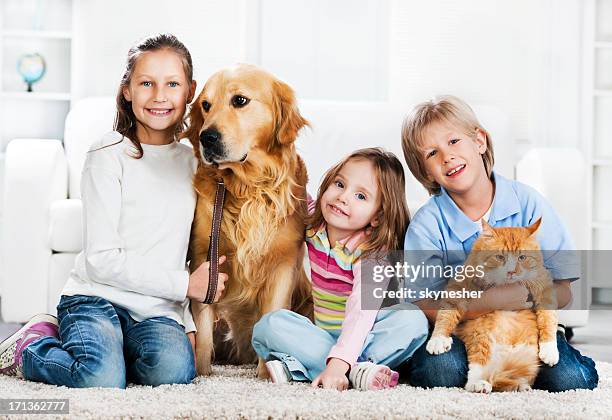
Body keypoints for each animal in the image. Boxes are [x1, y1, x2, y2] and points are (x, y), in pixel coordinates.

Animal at [184, 63, 314, 378]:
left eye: (239, 100)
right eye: (205, 105)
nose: (206, 137)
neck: (248, 188)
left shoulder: (283, 261)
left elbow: (272, 316)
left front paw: (267, 375)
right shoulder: (204, 256)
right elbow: (202, 331)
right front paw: (201, 375)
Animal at [428, 218, 556, 392]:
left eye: (522, 257)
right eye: (500, 257)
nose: (511, 272)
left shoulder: (544, 288)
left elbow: (549, 320)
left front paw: (550, 350)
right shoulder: (460, 285)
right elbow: (446, 315)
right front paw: (438, 339)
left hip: (526, 355)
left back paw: (520, 386)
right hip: (481, 338)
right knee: (478, 372)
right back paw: (480, 385)